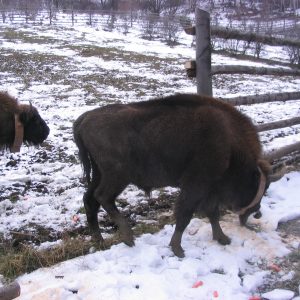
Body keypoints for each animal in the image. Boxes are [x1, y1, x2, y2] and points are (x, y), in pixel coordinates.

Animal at [72, 94, 270, 258]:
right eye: (259, 187)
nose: (257, 212)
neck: (229, 143)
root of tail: (85, 117)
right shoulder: (195, 186)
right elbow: (185, 215)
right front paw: (178, 250)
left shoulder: (209, 190)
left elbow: (213, 213)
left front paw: (223, 238)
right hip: (117, 177)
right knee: (102, 197)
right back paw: (128, 238)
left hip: (99, 173)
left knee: (90, 200)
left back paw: (99, 240)